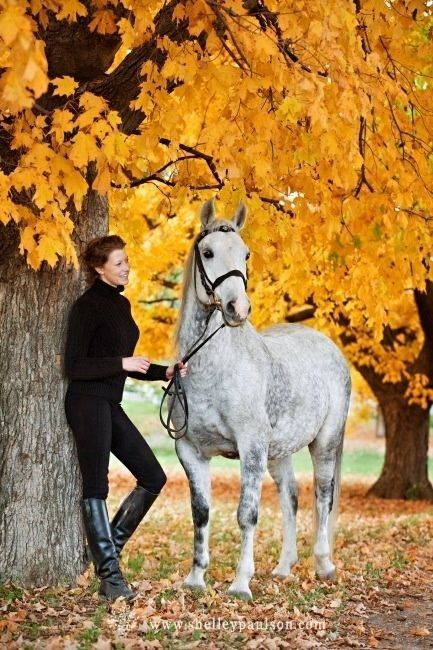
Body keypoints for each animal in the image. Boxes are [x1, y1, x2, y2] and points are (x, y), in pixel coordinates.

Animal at [170, 199, 350, 596]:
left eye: (245, 253)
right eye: (208, 252)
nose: (237, 308)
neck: (214, 367)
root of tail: (329, 347)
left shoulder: (251, 446)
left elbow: (246, 514)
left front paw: (241, 583)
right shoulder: (190, 450)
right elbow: (201, 513)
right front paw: (196, 578)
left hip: (325, 442)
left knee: (323, 495)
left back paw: (324, 564)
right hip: (279, 452)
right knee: (290, 497)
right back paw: (284, 567)